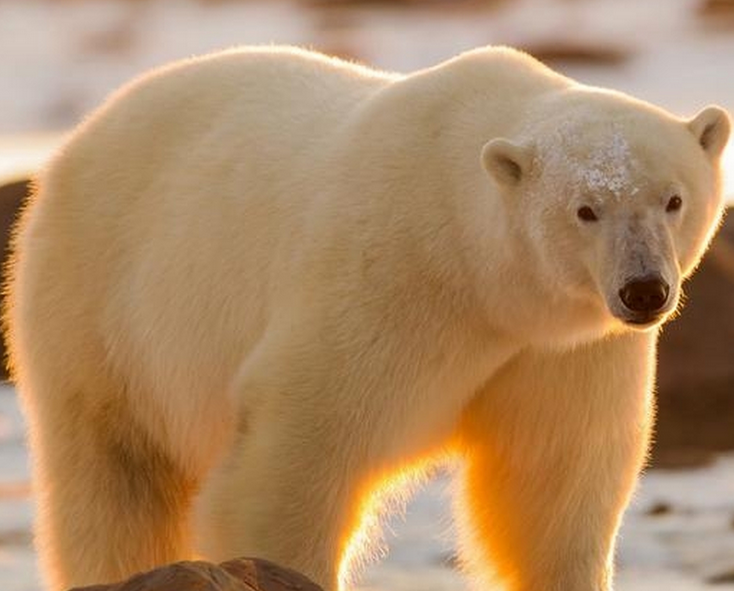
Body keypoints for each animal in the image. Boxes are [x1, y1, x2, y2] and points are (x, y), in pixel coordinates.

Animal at [2, 46, 732, 591]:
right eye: (586, 209)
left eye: (673, 199)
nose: (644, 290)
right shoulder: (383, 280)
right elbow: (297, 450)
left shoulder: (561, 348)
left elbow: (552, 480)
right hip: (98, 308)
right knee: (114, 482)